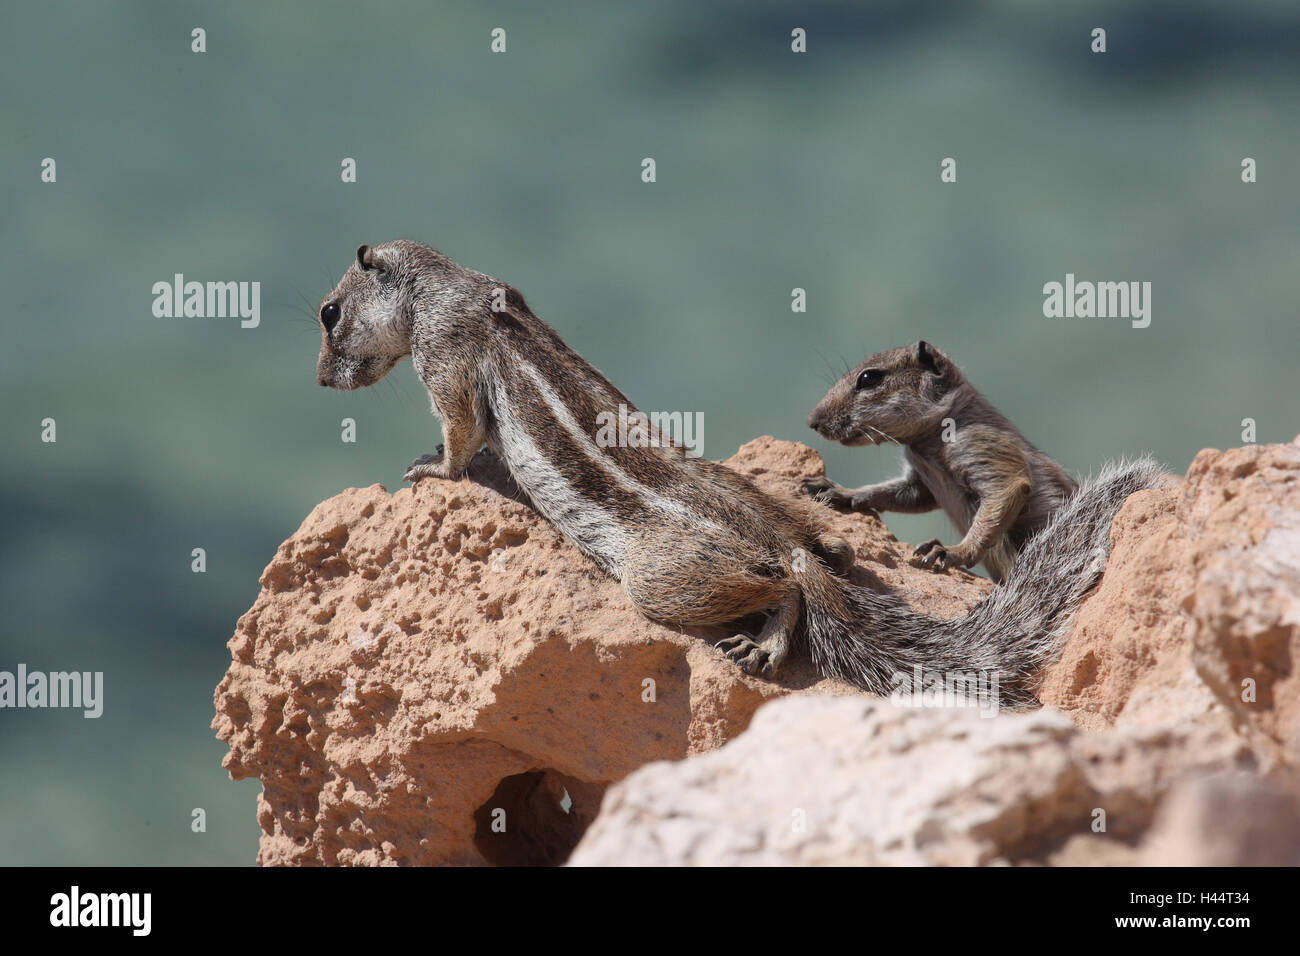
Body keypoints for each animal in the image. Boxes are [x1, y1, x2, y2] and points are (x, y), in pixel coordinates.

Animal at [800, 343, 1076, 582]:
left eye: (868, 378)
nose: (812, 421)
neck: (924, 445)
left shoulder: (985, 449)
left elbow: (1002, 496)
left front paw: (953, 552)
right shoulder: (920, 482)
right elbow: (893, 493)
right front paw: (839, 491)